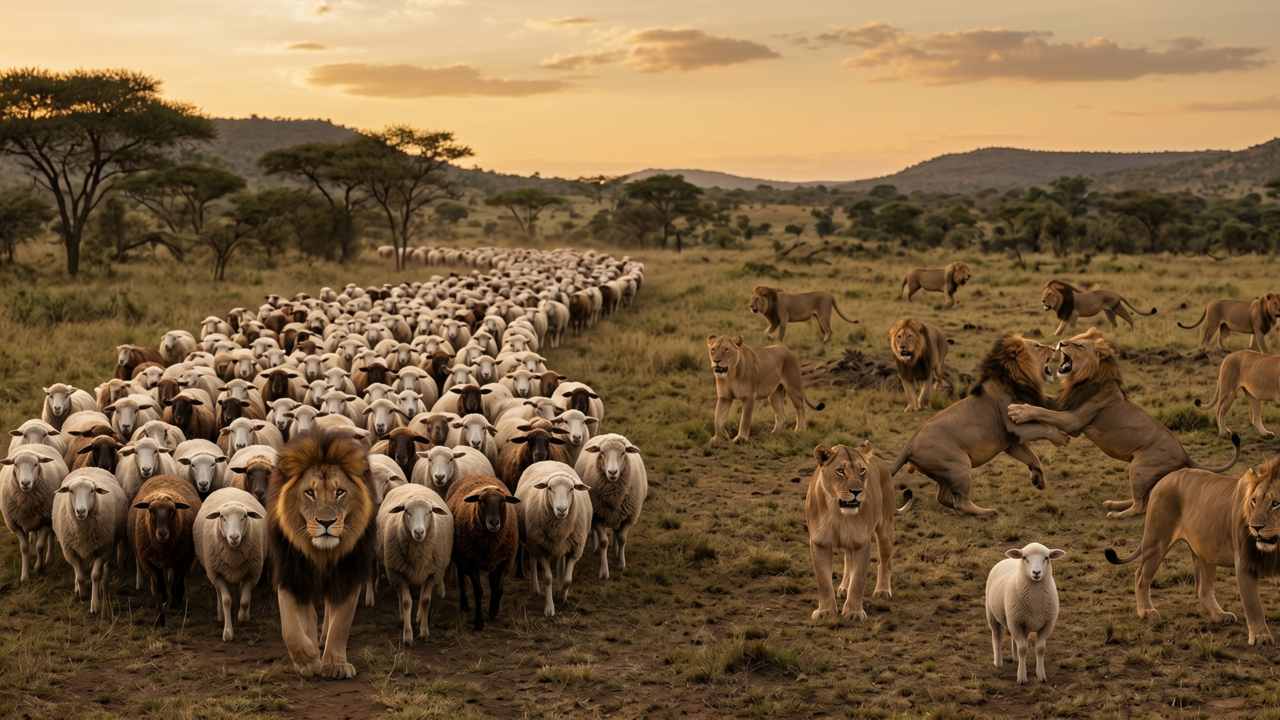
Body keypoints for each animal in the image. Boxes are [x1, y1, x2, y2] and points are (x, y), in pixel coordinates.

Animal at [267, 429, 376, 679]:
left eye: (340, 492)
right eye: (310, 493)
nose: (326, 522)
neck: (321, 554)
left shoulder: (348, 574)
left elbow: (341, 624)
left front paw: (336, 665)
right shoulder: (291, 573)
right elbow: (290, 628)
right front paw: (308, 660)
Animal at [807, 442, 913, 621]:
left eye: (862, 470)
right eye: (840, 471)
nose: (857, 492)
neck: (837, 512)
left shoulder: (861, 542)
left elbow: (858, 580)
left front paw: (854, 613)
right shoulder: (819, 542)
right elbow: (823, 580)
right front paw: (825, 611)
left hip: (885, 529)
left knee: (885, 561)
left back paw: (882, 591)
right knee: (848, 559)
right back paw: (844, 588)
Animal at [889, 334, 1067, 517]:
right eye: (1037, 346)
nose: (1053, 348)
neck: (1015, 378)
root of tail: (908, 446)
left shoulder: (1012, 443)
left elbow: (1032, 457)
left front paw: (1038, 478)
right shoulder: (1015, 426)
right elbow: (1045, 428)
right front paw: (1061, 438)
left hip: (947, 472)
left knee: (943, 497)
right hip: (959, 465)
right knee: (961, 502)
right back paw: (988, 512)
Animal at [1008, 328, 1241, 519]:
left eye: (1079, 345)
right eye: (1073, 339)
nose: (1061, 343)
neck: (1083, 379)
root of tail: (1184, 454)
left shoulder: (1073, 420)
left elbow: (1043, 411)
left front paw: (1019, 411)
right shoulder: (1064, 402)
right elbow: (1043, 403)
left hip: (1140, 467)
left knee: (1141, 507)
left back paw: (1118, 514)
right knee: (1143, 498)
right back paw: (1114, 504)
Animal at [1103, 458, 1280, 646]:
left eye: (1275, 503)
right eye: (1254, 501)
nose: (1255, 527)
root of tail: (1165, 478)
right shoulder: (1245, 562)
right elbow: (1253, 603)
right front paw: (1261, 637)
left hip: (1205, 549)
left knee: (1202, 588)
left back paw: (1220, 615)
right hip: (1156, 541)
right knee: (1140, 575)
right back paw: (1146, 611)